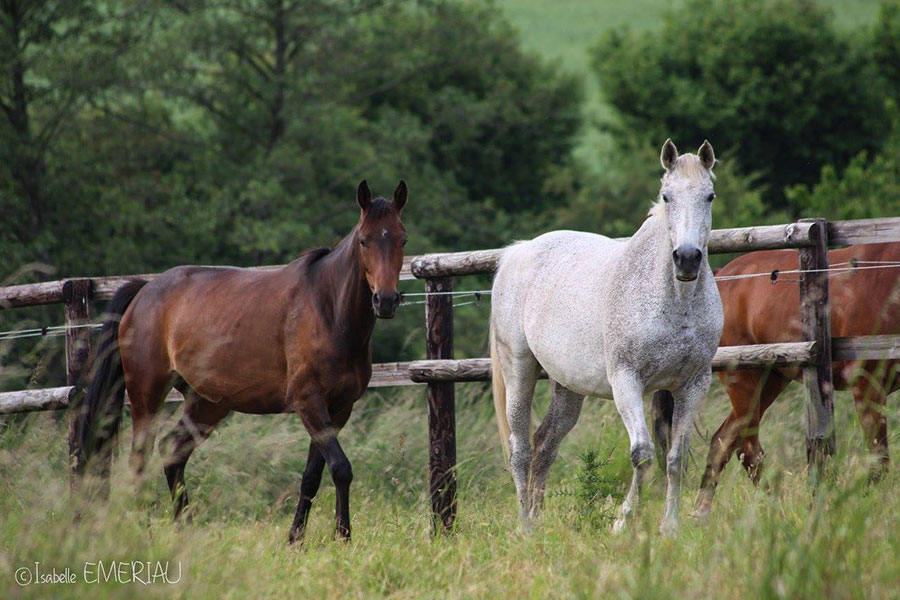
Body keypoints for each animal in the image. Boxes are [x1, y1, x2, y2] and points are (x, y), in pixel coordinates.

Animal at [77, 180, 408, 540]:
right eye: (364, 240)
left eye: (402, 239)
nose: (386, 301)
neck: (329, 310)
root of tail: (144, 291)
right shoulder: (308, 401)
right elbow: (340, 468)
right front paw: (343, 537)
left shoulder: (338, 408)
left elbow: (313, 475)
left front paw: (297, 539)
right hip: (146, 395)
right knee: (139, 460)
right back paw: (145, 533)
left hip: (206, 403)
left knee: (171, 453)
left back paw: (186, 530)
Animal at [488, 142, 728, 536]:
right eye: (667, 196)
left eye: (709, 196)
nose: (687, 259)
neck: (674, 301)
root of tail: (517, 252)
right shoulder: (626, 381)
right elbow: (642, 455)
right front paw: (621, 521)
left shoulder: (693, 384)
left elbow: (675, 459)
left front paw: (669, 528)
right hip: (519, 371)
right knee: (520, 449)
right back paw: (525, 527)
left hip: (568, 388)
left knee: (544, 446)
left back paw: (537, 521)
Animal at [652, 241, 900, 516]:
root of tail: (721, 277)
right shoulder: (867, 385)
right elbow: (879, 460)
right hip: (744, 381)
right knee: (747, 449)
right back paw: (776, 509)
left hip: (771, 381)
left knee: (722, 442)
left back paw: (701, 514)